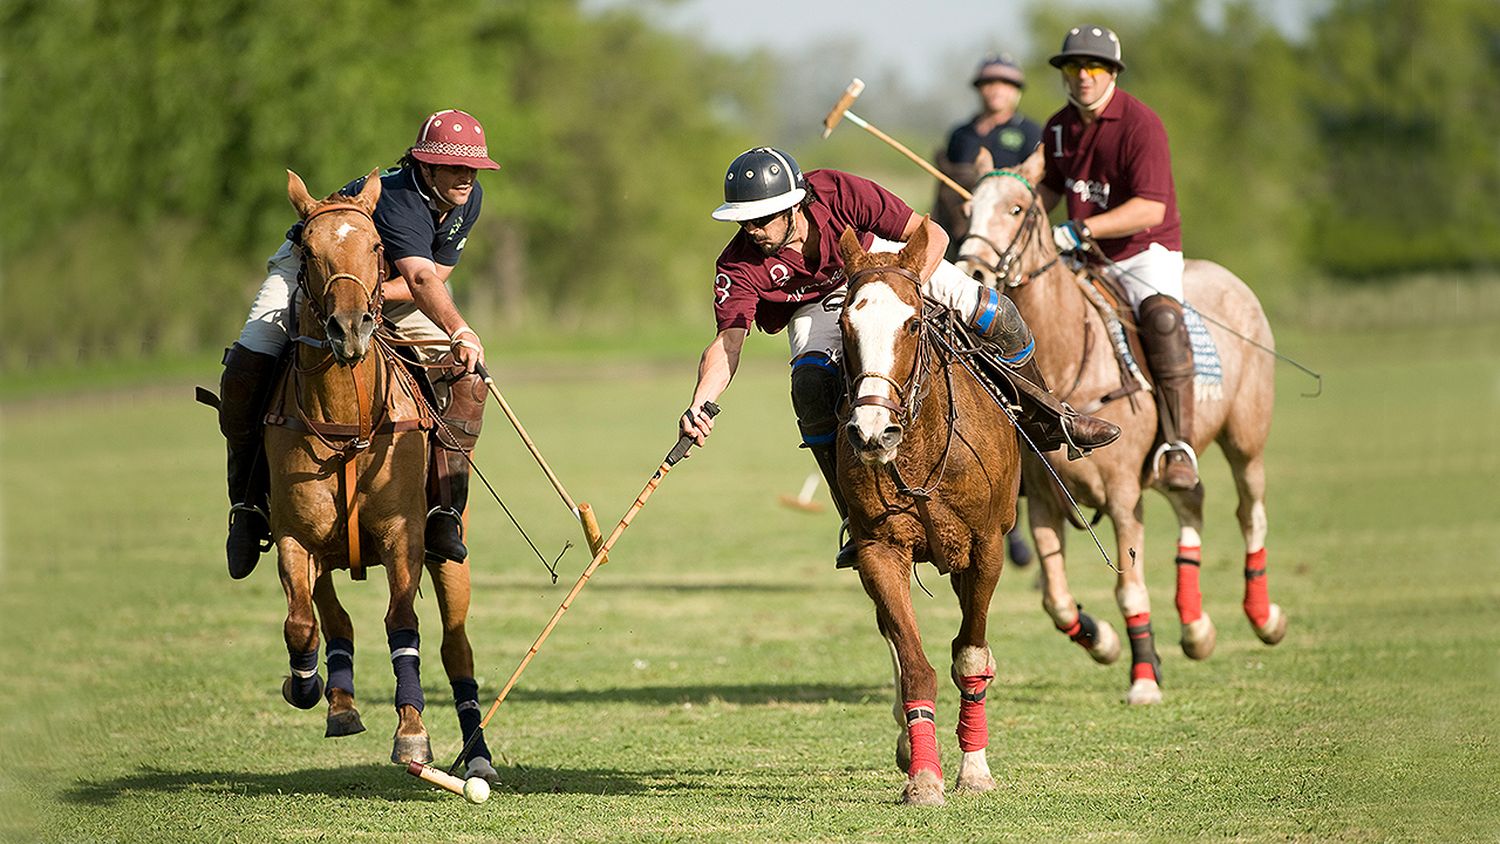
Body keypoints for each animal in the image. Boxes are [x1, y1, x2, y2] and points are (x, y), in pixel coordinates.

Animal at [270, 168, 498, 785]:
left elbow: (404, 626)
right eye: (307, 250)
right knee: (335, 621)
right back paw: (339, 701)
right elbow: (303, 624)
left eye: (376, 246)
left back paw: (478, 756)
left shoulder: (404, 535)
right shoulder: (296, 537)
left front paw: (412, 733)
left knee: (456, 647)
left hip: (449, 555)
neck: (348, 421)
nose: (349, 329)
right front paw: (307, 686)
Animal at [840, 227, 1026, 809]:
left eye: (913, 323)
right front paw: (923, 777)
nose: (871, 433)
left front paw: (975, 770)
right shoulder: (878, 550)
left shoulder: (986, 547)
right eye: (845, 324)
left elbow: (970, 657)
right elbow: (915, 665)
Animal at [960, 145, 1290, 707]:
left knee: (1250, 512)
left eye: (1017, 209)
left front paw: (1143, 678)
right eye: (968, 209)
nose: (973, 271)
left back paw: (1264, 618)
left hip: (1246, 437)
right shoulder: (1043, 499)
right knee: (1192, 498)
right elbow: (1056, 599)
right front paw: (1107, 643)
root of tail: (1228, 277)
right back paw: (1196, 629)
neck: (1067, 360)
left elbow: (1129, 587)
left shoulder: (1120, 495)